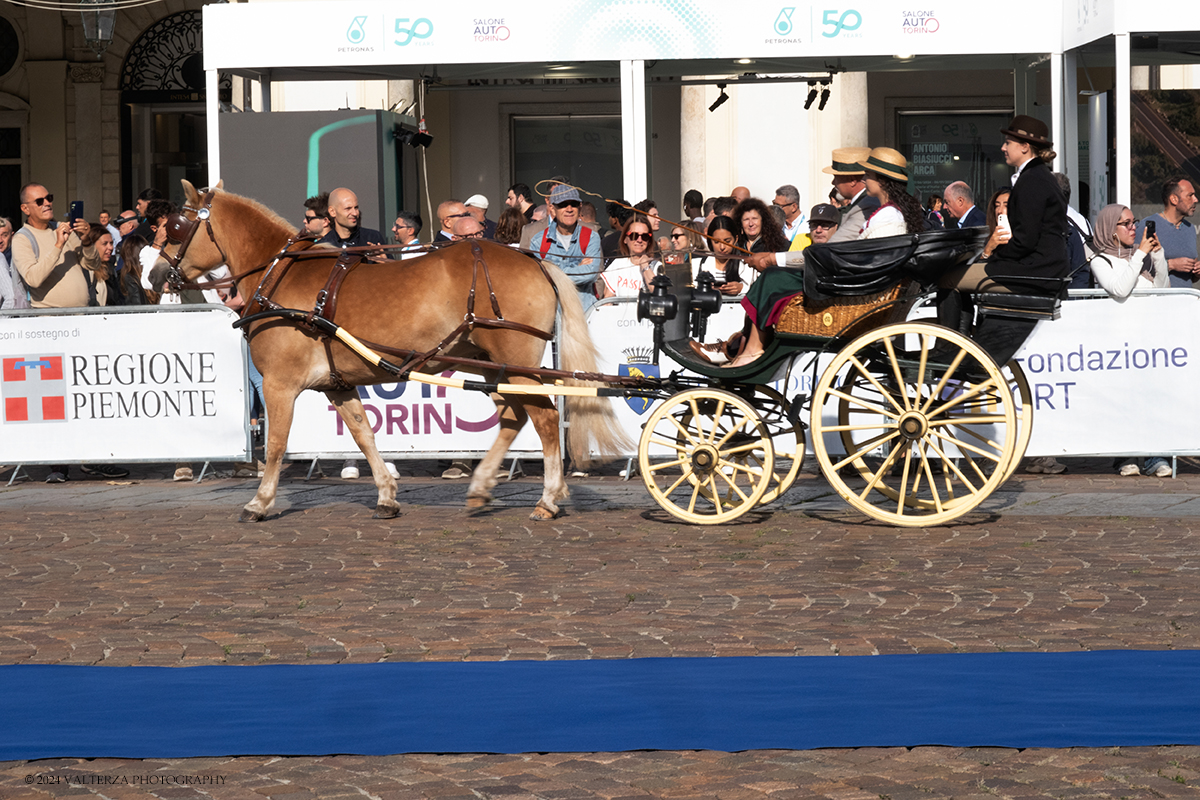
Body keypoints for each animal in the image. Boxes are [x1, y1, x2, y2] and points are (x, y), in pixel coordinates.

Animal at [165, 178, 633, 522]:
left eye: (174, 228)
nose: (157, 275)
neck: (280, 275)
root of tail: (535, 260)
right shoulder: (337, 384)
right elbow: (363, 434)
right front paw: (387, 496)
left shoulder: (279, 384)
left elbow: (277, 444)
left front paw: (260, 502)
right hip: (488, 362)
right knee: (513, 416)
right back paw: (482, 487)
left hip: (517, 363)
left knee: (547, 420)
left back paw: (548, 499)